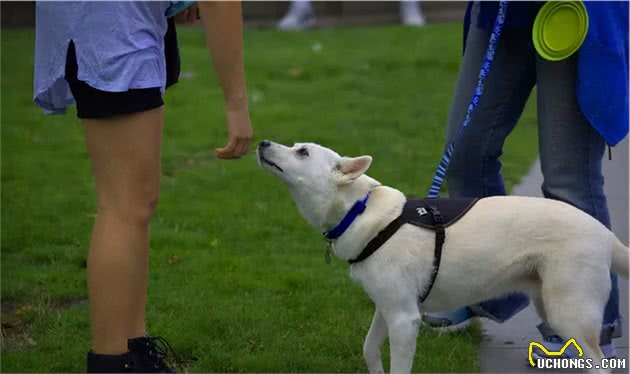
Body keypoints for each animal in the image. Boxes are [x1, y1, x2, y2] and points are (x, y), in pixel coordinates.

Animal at [256, 141, 630, 374]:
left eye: (302, 151)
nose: (262, 143)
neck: (359, 209)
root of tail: (605, 234)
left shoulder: (404, 320)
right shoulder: (387, 308)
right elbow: (368, 349)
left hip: (569, 311)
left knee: (598, 362)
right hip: (549, 303)